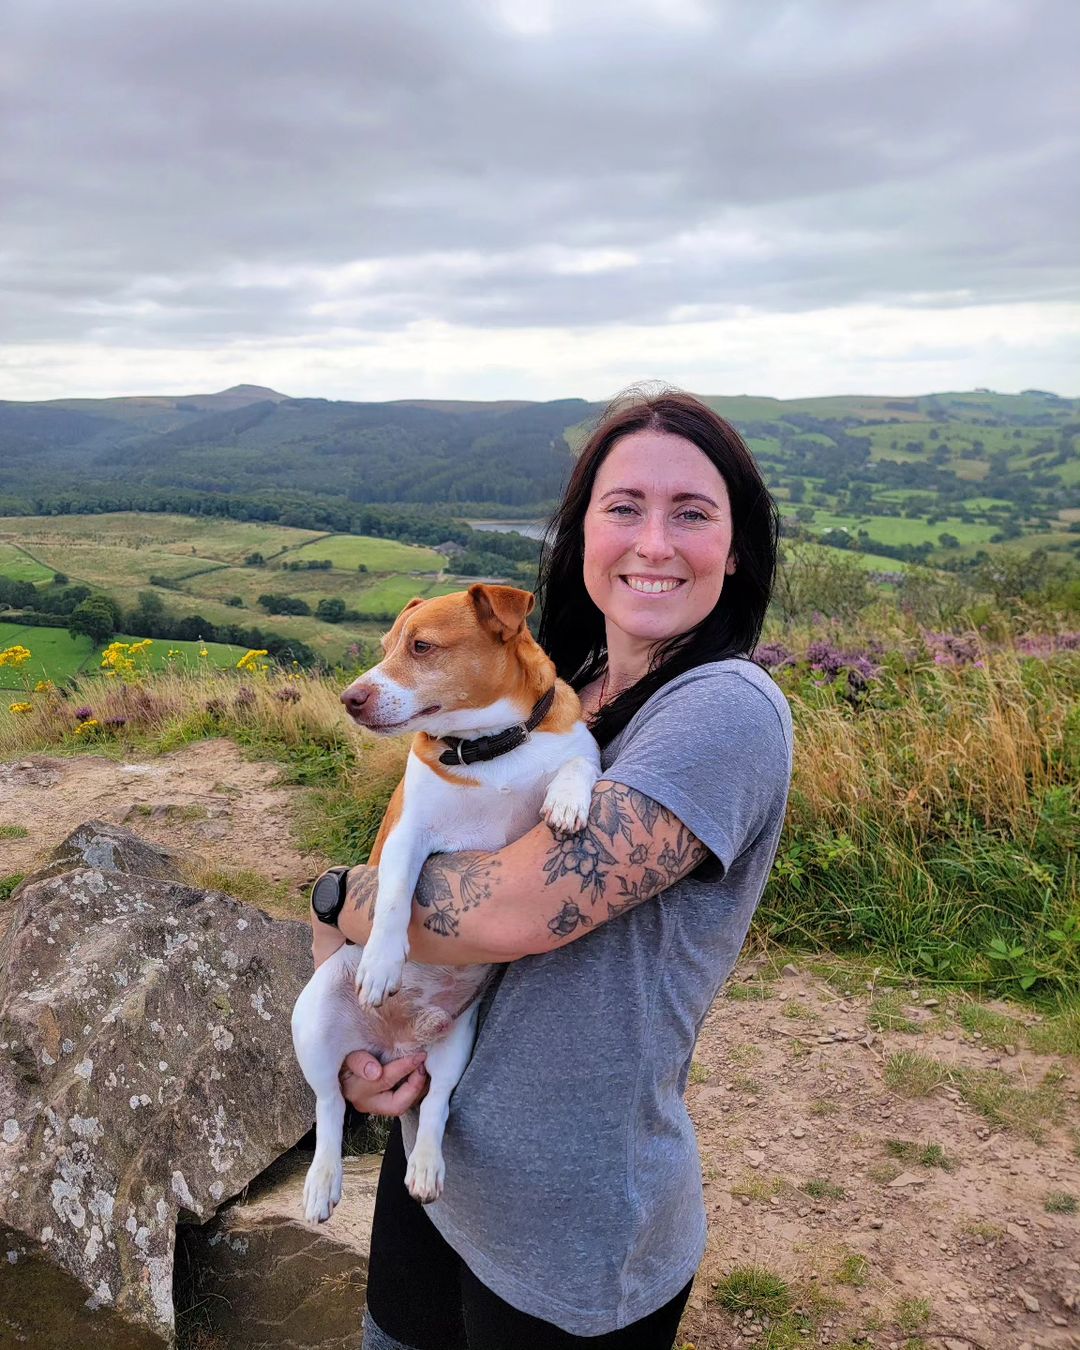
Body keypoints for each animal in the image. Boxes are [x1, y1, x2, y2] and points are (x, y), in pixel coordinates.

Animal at [291, 585, 602, 1220]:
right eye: (384, 647)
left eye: (422, 647)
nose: (350, 699)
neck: (490, 751)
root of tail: (395, 1043)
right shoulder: (410, 837)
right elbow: (391, 899)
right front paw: (383, 963)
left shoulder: (579, 754)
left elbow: (578, 765)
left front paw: (566, 802)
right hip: (311, 1019)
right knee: (330, 1106)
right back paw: (322, 1181)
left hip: (454, 1047)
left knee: (434, 1106)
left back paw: (428, 1167)